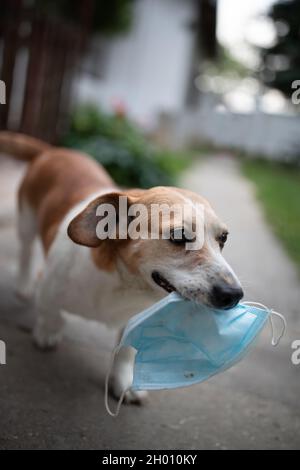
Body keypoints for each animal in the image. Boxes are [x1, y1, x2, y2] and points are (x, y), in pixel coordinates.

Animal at [0, 131, 244, 404]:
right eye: (179, 235)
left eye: (223, 238)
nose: (234, 295)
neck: (124, 283)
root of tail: (53, 152)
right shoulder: (49, 283)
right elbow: (51, 312)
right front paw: (47, 332)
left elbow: (126, 351)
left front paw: (125, 383)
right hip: (26, 222)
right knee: (25, 250)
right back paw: (23, 284)